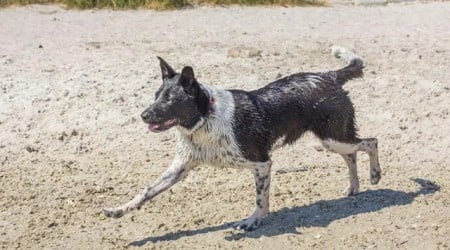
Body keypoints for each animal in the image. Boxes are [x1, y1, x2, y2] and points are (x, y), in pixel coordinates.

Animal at [103, 46, 382, 230]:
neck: (206, 117)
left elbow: (260, 198)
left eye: (170, 100)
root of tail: (330, 75)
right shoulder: (179, 169)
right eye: (156, 95)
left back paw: (374, 175)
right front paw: (119, 210)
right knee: (352, 154)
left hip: (333, 137)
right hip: (333, 140)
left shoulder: (261, 164)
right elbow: (146, 192)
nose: (143, 115)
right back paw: (354, 187)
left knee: (370, 142)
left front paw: (253, 220)